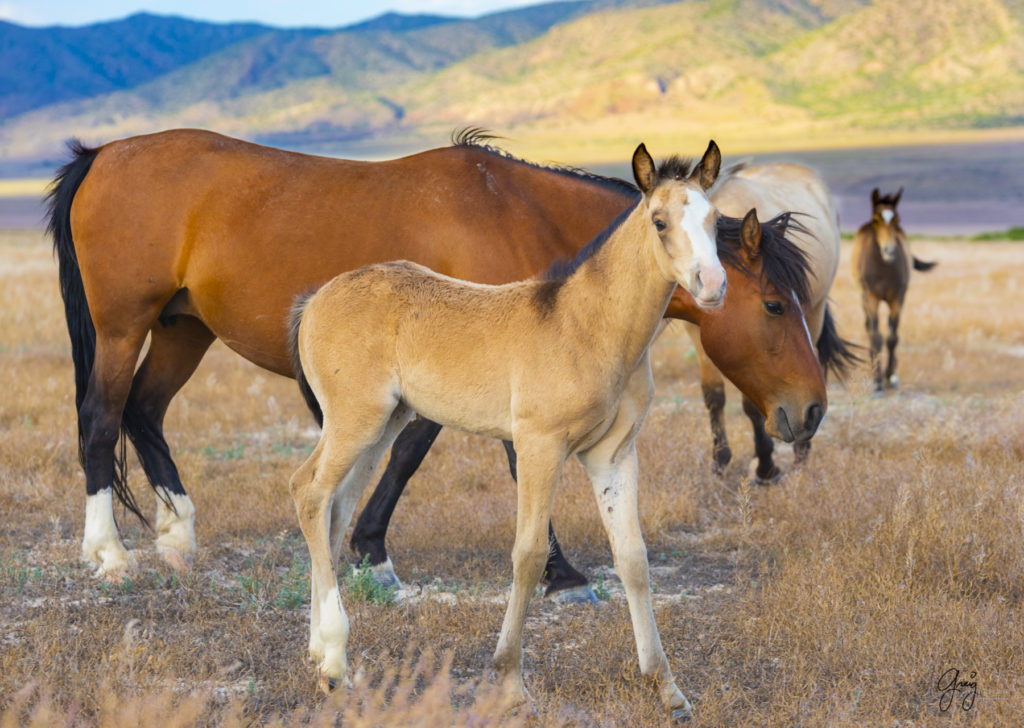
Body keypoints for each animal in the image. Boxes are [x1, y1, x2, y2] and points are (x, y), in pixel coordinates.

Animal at [49, 126, 831, 581]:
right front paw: (559, 570)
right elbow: (484, 457)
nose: (813, 410)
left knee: (145, 412)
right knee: (101, 418)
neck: (522, 216)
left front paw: (369, 546)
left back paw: (178, 536)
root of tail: (102, 155)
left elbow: (410, 450)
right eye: (773, 305)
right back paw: (108, 553)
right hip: (123, 327)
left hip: (184, 327)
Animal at [288, 145, 733, 716]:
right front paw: (509, 684)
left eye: (715, 220)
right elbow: (529, 554)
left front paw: (668, 691)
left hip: (385, 423)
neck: (588, 327)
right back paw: (334, 665)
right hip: (354, 420)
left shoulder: (613, 454)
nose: (712, 285)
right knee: (308, 492)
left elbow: (632, 559)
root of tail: (315, 299)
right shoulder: (540, 445)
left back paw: (319, 653)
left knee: (335, 507)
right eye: (659, 220)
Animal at [688, 164, 856, 483]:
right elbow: (713, 396)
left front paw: (766, 466)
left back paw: (801, 455)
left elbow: (752, 405)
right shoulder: (698, 332)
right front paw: (720, 461)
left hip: (814, 314)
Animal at [847, 188, 937, 393]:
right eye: (875, 220)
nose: (889, 250)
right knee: (869, 328)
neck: (883, 269)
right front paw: (877, 380)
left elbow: (892, 337)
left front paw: (891, 377)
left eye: (897, 220)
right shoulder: (871, 298)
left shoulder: (898, 298)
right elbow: (876, 336)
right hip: (864, 298)